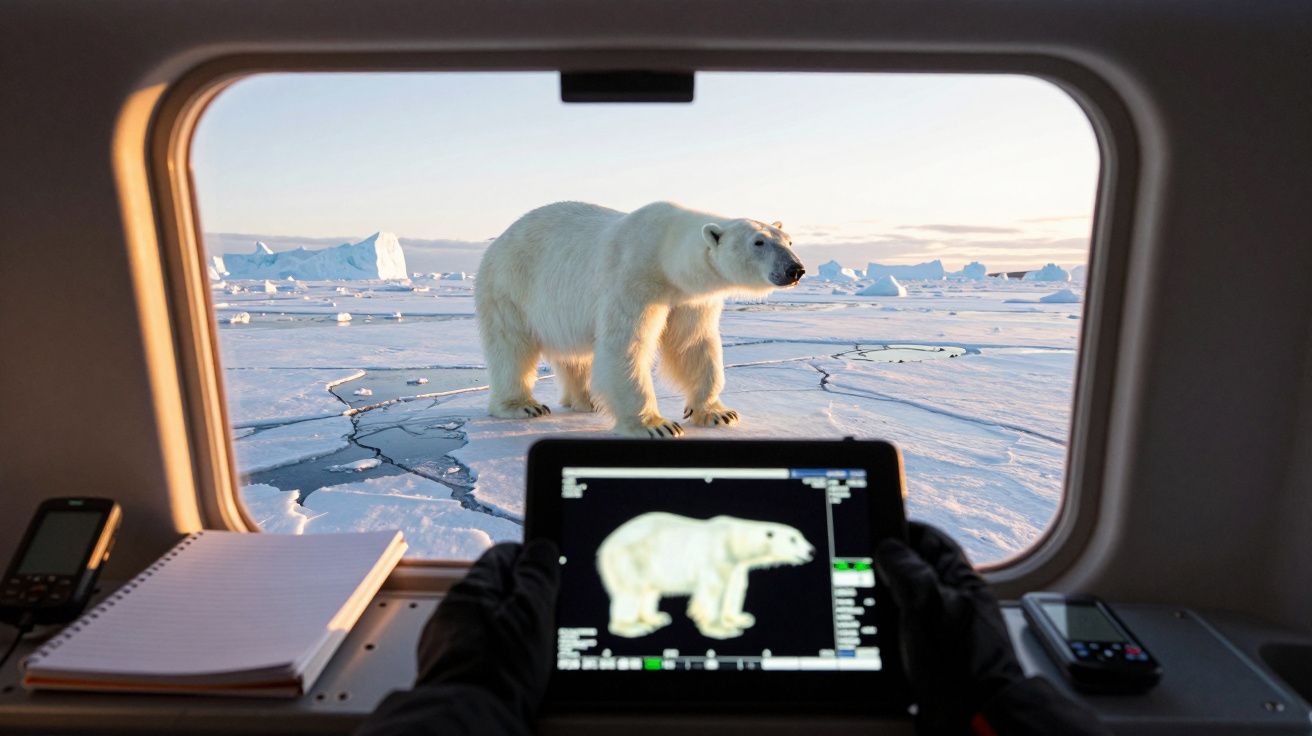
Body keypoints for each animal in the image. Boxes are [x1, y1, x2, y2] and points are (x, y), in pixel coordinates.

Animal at [474, 201, 806, 438]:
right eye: (759, 242)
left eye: (789, 241)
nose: (796, 269)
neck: (665, 254)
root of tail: (499, 239)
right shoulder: (636, 278)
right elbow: (627, 345)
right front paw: (656, 425)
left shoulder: (690, 298)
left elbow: (693, 343)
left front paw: (718, 413)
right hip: (509, 285)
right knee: (511, 346)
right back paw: (523, 406)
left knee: (575, 354)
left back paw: (587, 400)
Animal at [596, 512, 815, 639]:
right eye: (793, 539)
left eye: (801, 536)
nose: (811, 551)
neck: (735, 541)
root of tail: (605, 545)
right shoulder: (718, 554)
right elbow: (713, 590)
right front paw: (721, 629)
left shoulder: (736, 566)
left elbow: (734, 589)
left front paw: (740, 618)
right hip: (631, 558)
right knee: (630, 592)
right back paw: (631, 627)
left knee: (649, 591)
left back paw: (656, 618)